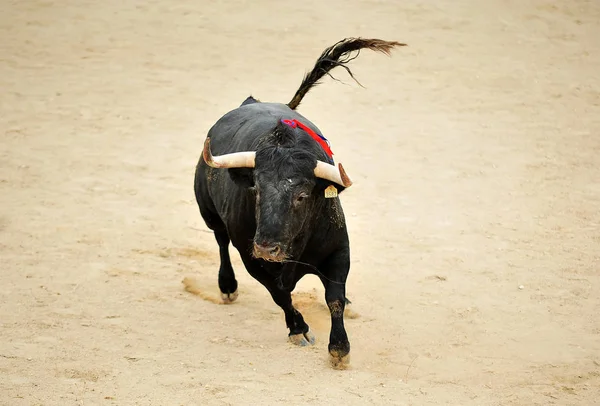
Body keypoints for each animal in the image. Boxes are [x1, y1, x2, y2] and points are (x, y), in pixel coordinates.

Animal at [195, 38, 406, 366]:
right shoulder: (251, 259)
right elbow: (280, 295)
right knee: (220, 241)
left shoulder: (339, 250)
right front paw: (299, 329)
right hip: (209, 213)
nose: (266, 248)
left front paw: (340, 348)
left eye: (302, 195)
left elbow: (334, 298)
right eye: (255, 189)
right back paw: (227, 287)